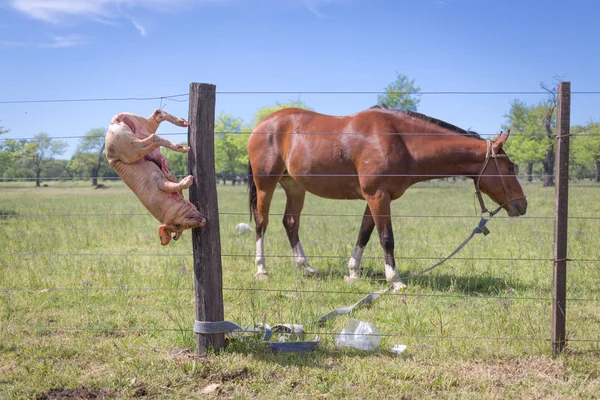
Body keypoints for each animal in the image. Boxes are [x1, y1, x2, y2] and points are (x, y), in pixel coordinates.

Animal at [246, 106, 528, 290]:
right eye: (510, 167)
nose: (522, 205)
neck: (400, 140)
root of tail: (262, 124)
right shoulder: (378, 196)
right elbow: (386, 238)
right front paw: (395, 281)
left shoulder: (377, 198)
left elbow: (364, 233)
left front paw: (353, 273)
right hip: (266, 185)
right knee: (262, 223)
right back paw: (261, 270)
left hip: (295, 187)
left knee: (290, 223)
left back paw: (306, 267)